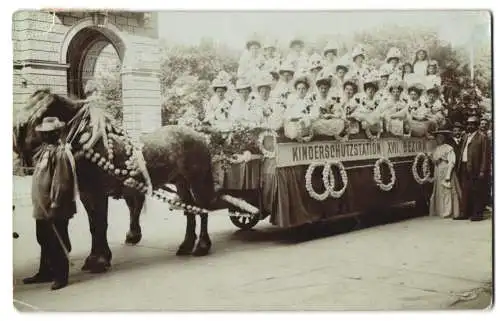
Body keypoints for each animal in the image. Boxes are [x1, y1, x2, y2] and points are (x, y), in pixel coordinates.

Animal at [14, 88, 240, 272]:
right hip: (181, 183)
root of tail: (201, 136)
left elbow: (101, 224)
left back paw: (202, 246)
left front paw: (100, 261)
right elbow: (93, 225)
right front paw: (94, 259)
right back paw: (186, 245)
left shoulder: (99, 193)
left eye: (40, 113)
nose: (17, 133)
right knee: (190, 211)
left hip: (196, 181)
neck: (91, 142)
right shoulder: (87, 194)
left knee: (201, 210)